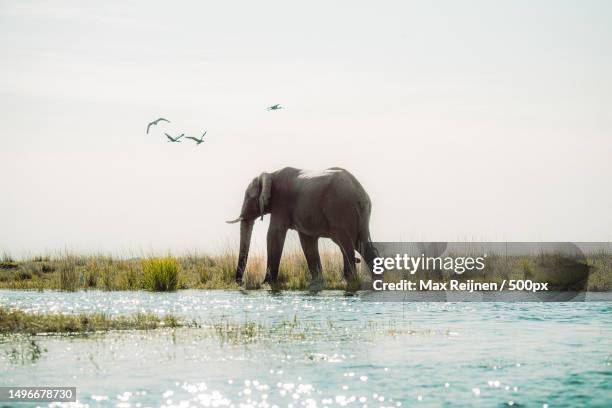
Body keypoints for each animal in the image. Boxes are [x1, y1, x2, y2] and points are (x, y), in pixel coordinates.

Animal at [226, 166, 378, 286]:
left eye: (248, 197)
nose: (241, 282)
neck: (270, 174)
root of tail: (359, 191)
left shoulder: (281, 203)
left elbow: (274, 234)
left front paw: (267, 283)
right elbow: (307, 242)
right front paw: (316, 282)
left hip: (340, 209)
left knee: (345, 245)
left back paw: (348, 281)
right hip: (360, 215)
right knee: (361, 244)